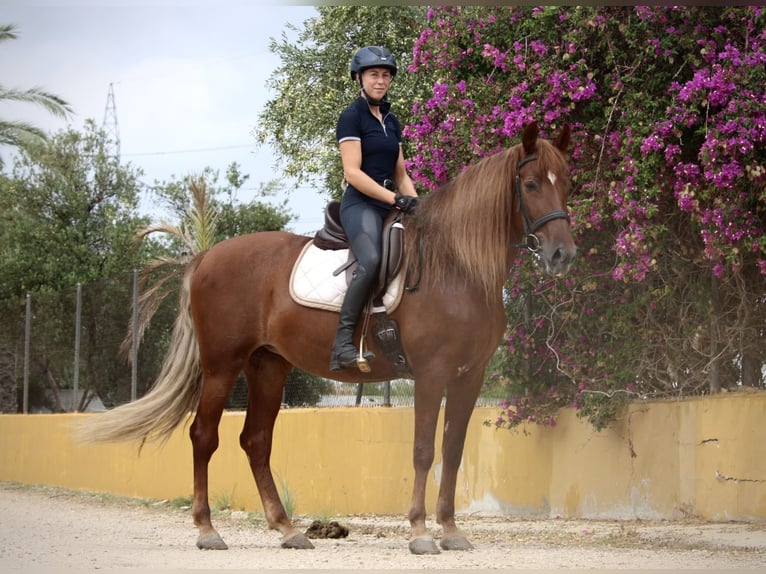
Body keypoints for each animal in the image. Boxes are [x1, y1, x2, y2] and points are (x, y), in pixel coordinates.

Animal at [81, 121, 580, 560]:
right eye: (531, 183)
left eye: (567, 183)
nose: (562, 254)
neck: (456, 267)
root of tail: (206, 256)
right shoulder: (431, 373)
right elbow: (423, 451)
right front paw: (420, 532)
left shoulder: (468, 377)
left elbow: (453, 451)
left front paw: (451, 531)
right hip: (222, 365)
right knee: (204, 436)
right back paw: (207, 531)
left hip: (268, 366)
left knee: (256, 441)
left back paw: (287, 530)